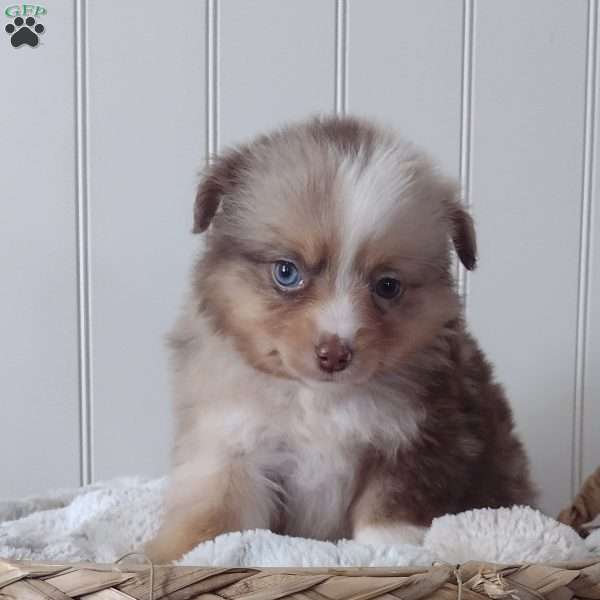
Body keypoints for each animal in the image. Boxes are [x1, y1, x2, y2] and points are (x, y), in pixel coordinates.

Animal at [146, 116, 536, 564]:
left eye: (387, 286)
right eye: (287, 272)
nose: (335, 354)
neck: (321, 401)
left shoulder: (420, 438)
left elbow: (391, 508)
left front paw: (390, 552)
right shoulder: (234, 445)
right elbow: (215, 517)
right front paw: (178, 556)